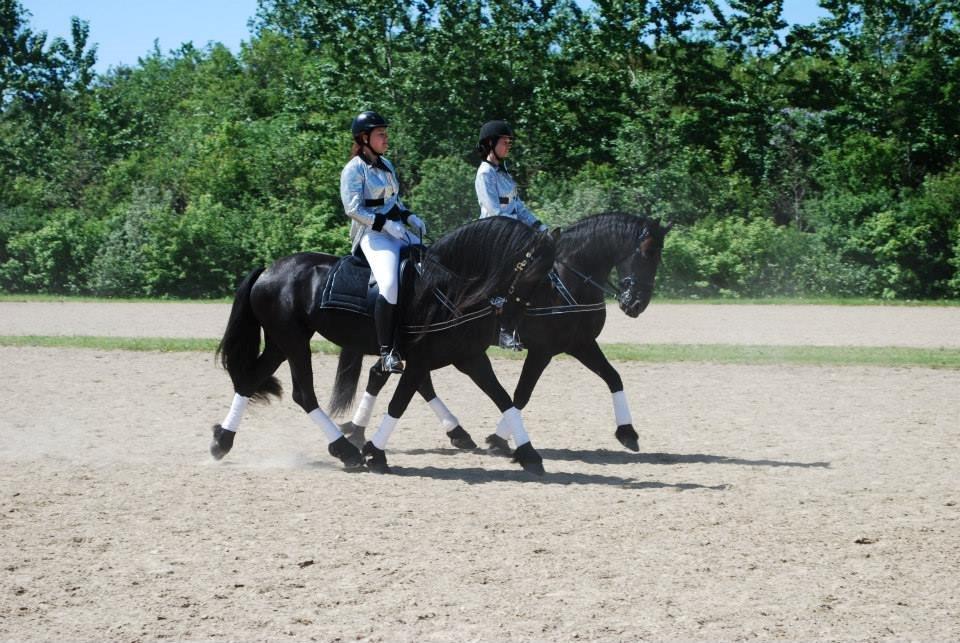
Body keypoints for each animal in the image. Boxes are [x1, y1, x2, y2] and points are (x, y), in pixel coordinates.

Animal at [209, 219, 556, 476]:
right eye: (534, 273)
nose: (514, 327)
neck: (448, 289)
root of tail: (268, 270)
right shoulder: (420, 361)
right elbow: (398, 403)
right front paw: (375, 454)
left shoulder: (469, 357)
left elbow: (504, 398)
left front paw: (529, 455)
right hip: (293, 342)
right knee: (303, 394)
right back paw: (346, 450)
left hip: (281, 343)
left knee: (250, 380)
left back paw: (222, 441)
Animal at [344, 211, 668, 452]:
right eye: (647, 252)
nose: (637, 304)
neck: (568, 282)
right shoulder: (544, 350)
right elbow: (521, 393)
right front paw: (500, 438)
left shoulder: (580, 343)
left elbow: (613, 377)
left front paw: (628, 433)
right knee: (395, 374)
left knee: (402, 378)